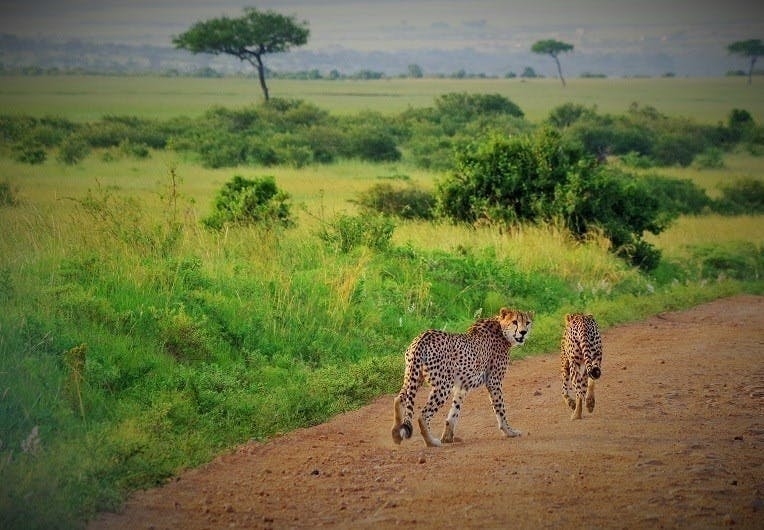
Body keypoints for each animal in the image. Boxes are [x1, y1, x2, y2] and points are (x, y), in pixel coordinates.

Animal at [390, 306, 536, 446]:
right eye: (515, 322)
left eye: (527, 323)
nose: (523, 332)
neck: (501, 329)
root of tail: (423, 337)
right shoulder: (494, 381)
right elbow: (500, 409)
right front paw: (509, 431)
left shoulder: (463, 385)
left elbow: (454, 411)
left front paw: (448, 437)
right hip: (443, 386)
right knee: (423, 414)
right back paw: (431, 442)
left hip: (413, 377)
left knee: (398, 399)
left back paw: (396, 434)